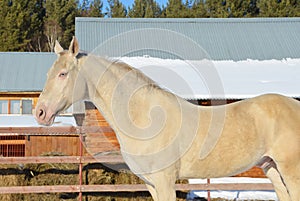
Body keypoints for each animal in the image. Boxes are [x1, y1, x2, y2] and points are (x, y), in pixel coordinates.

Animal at [35, 37, 300, 200]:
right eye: (47, 73)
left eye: (62, 74)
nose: (40, 113)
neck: (143, 119)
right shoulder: (152, 185)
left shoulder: (165, 181)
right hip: (271, 168)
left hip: (290, 172)